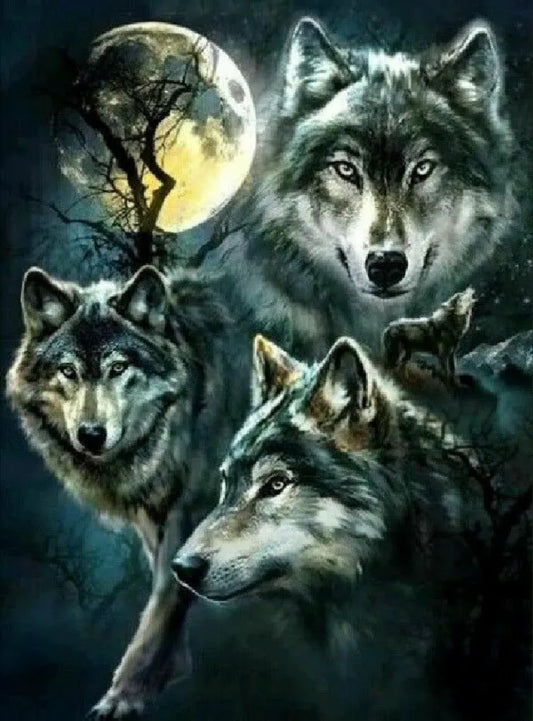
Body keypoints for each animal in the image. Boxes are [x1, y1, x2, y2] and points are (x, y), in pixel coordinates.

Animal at [6, 264, 249, 718]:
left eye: (118, 368)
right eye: (68, 371)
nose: (91, 435)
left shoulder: (193, 507)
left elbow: (167, 594)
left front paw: (128, 692)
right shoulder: (154, 513)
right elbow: (165, 586)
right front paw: (168, 668)